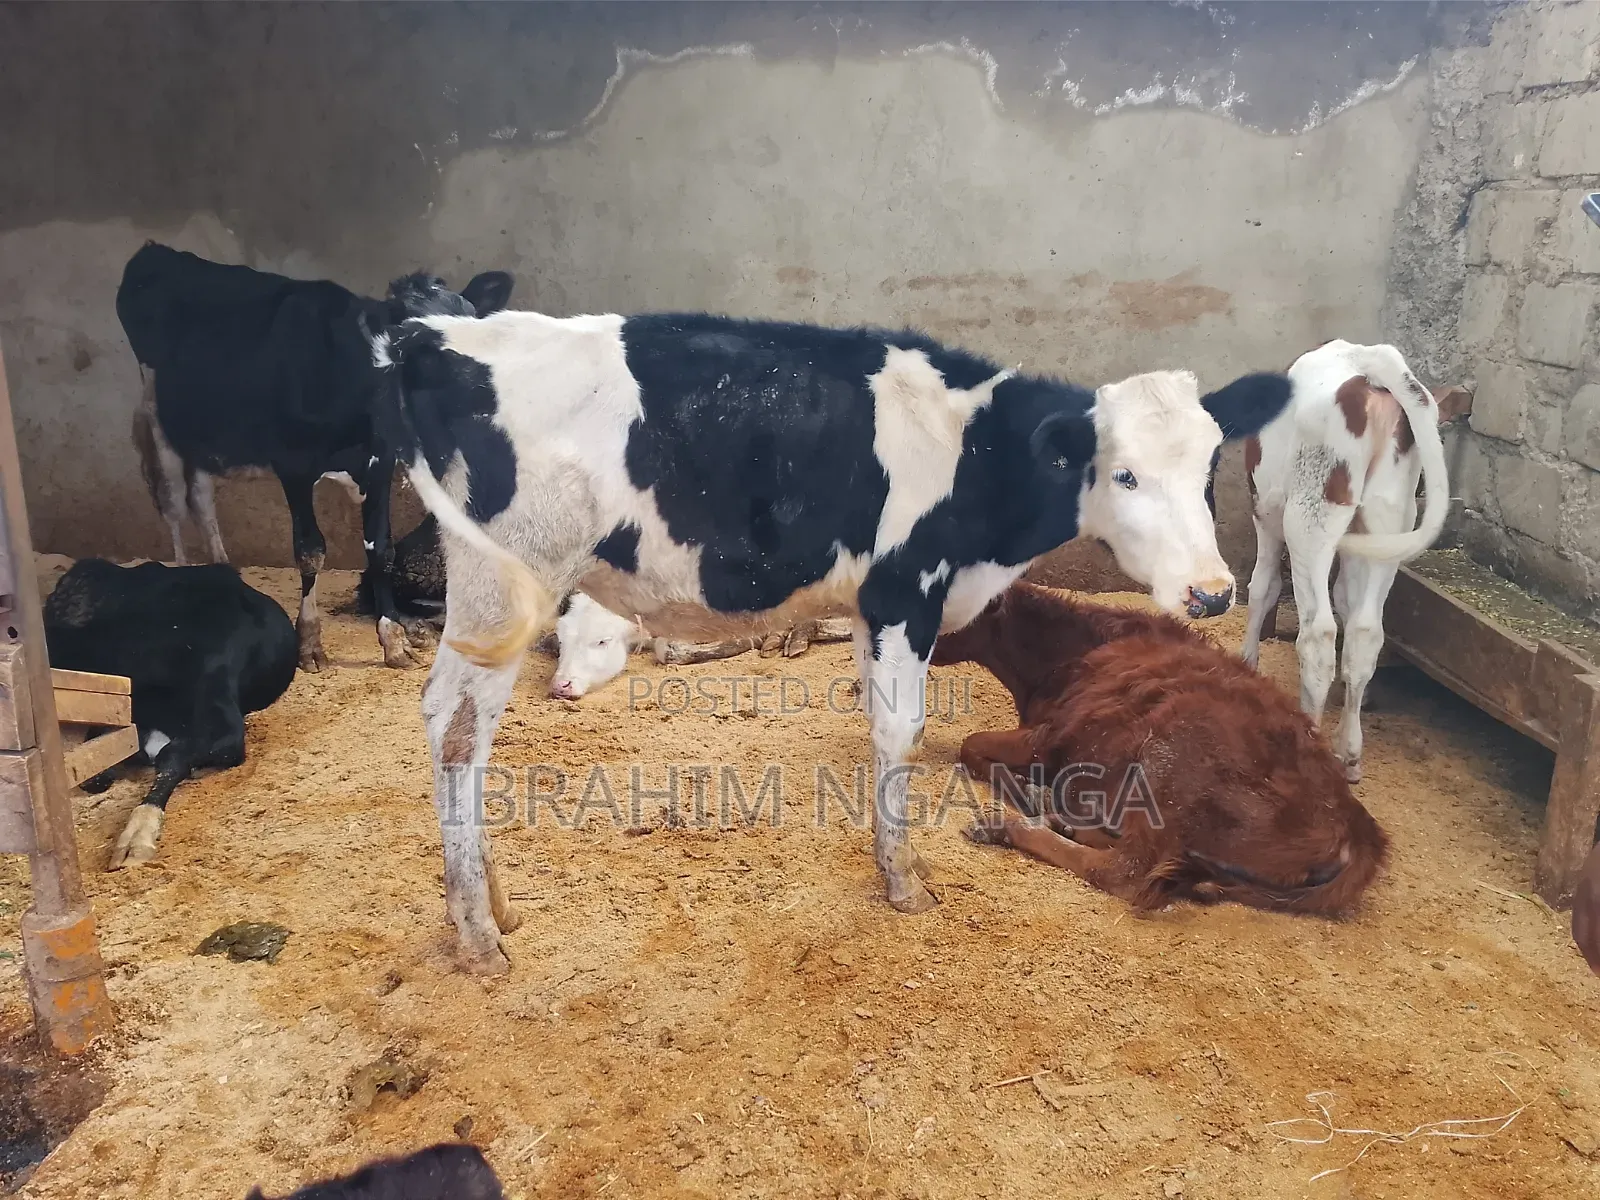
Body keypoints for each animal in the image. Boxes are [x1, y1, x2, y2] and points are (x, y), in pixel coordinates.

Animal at [114, 242, 513, 673]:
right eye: (416, 344)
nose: (480, 391)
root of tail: (156, 251)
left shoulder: (381, 461)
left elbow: (381, 550)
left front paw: (393, 642)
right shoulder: (294, 465)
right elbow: (310, 552)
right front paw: (309, 643)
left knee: (200, 498)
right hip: (158, 416)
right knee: (173, 502)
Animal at [367, 309, 1291, 973]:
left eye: (1210, 468)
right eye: (1123, 473)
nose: (1211, 589)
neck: (976, 456)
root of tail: (434, 336)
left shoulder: (871, 606)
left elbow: (878, 724)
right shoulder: (905, 588)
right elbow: (903, 731)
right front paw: (905, 881)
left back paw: (494, 905)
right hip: (507, 578)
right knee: (457, 730)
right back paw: (479, 934)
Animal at [933, 581, 1389, 915]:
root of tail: (1357, 825)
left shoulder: (1050, 739)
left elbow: (971, 746)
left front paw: (1028, 794)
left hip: (1170, 757)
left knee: (1123, 869)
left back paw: (1005, 825)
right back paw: (1061, 819)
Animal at [1238, 340, 1471, 782]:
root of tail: (1369, 359)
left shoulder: (1265, 515)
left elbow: (1262, 588)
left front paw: (1246, 664)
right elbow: (1347, 600)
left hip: (1309, 515)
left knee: (1318, 635)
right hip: (1389, 516)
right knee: (1365, 634)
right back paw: (1349, 753)